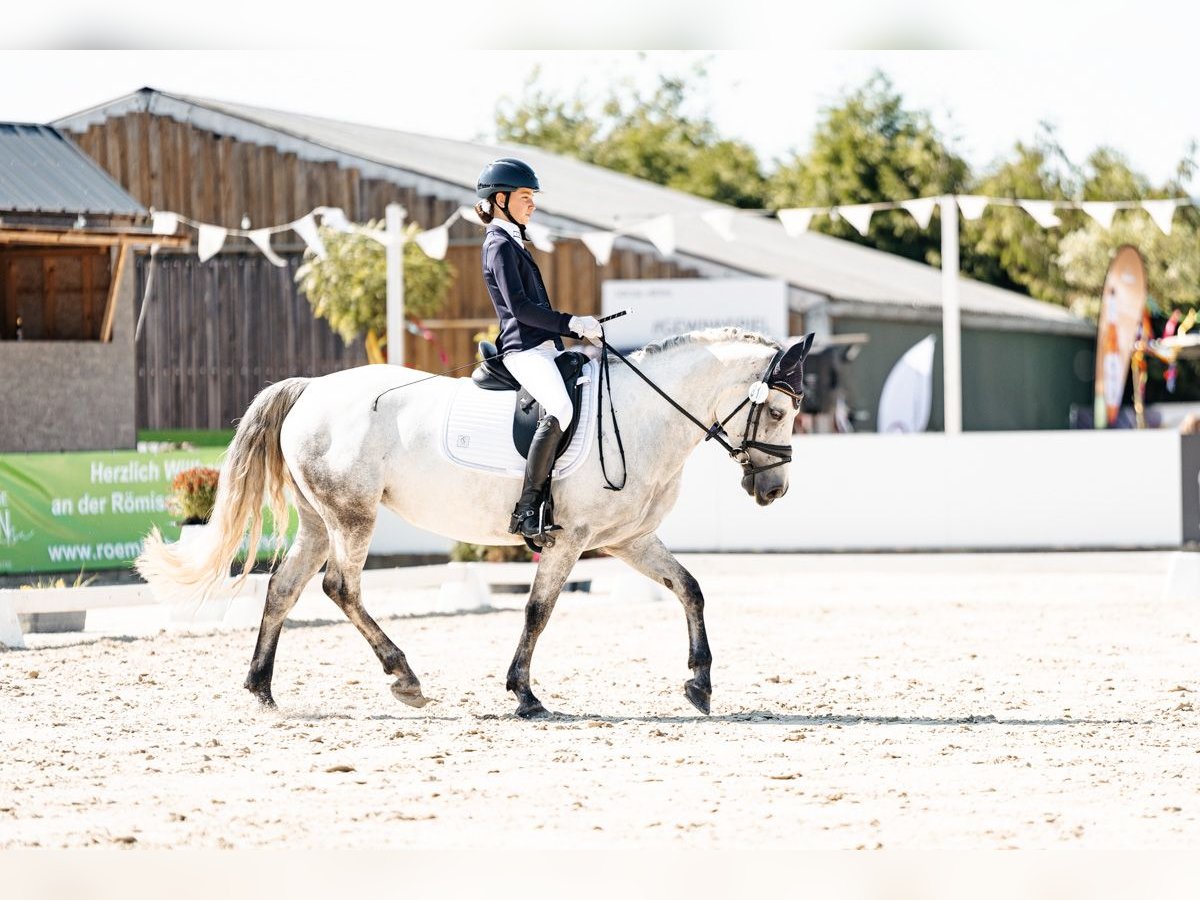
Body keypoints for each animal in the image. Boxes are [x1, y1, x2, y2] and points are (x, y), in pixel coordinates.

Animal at [138, 328, 816, 720]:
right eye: (778, 411)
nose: (773, 490)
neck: (643, 413)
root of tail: (310, 390)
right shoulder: (571, 539)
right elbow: (538, 611)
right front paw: (524, 694)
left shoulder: (626, 539)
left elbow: (690, 588)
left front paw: (699, 685)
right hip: (352, 515)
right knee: (340, 587)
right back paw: (404, 678)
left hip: (318, 519)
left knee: (284, 588)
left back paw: (261, 688)